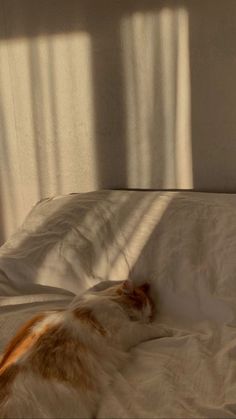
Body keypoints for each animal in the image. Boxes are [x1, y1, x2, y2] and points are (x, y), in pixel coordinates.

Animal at [0, 280, 170, 418]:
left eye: (150, 314)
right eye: (141, 306)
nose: (147, 319)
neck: (106, 298)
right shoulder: (125, 332)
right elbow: (146, 330)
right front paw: (167, 330)